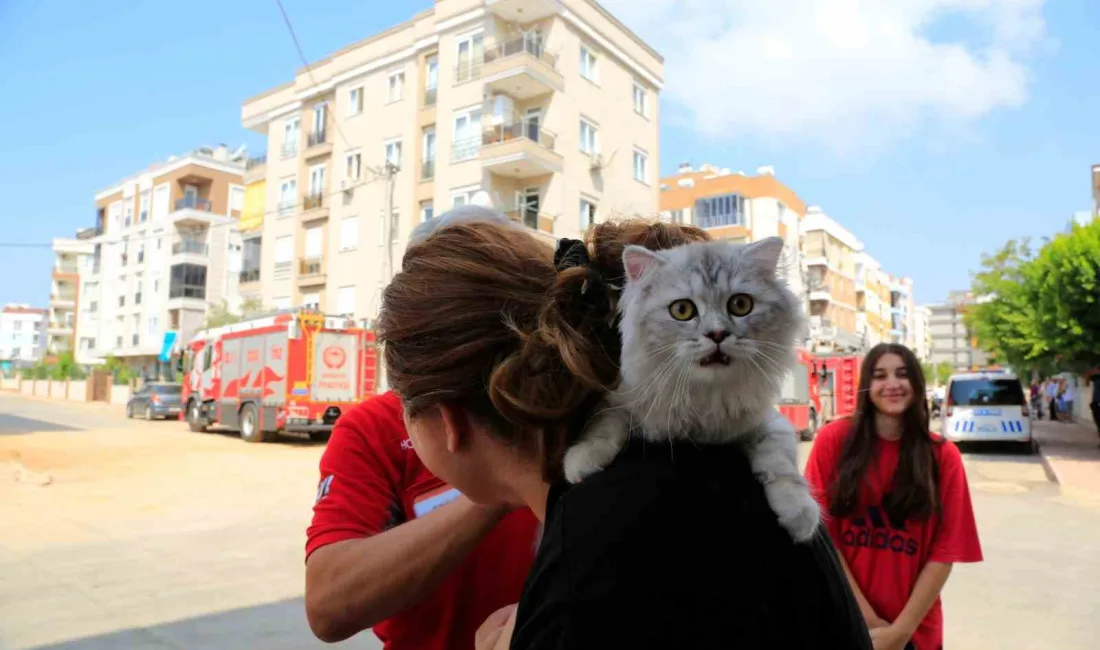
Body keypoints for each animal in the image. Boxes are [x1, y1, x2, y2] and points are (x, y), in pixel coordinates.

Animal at [563, 236, 822, 541]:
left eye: (740, 304)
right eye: (682, 310)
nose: (717, 334)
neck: (704, 396)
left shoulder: (766, 420)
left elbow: (782, 464)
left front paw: (800, 513)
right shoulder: (617, 400)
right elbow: (602, 429)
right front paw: (581, 460)